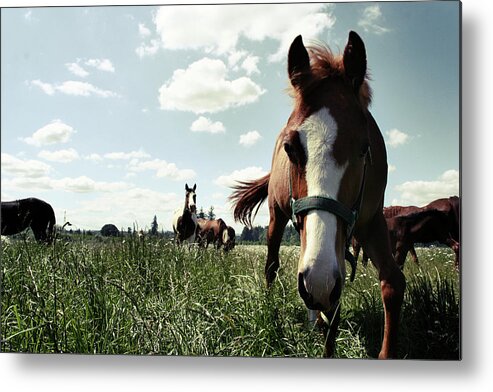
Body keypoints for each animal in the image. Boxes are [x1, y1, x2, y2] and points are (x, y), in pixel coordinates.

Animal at [231, 31, 404, 358]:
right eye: (290, 148)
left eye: (364, 148)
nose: (319, 281)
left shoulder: (370, 221)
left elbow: (392, 282)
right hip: (279, 217)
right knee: (273, 265)